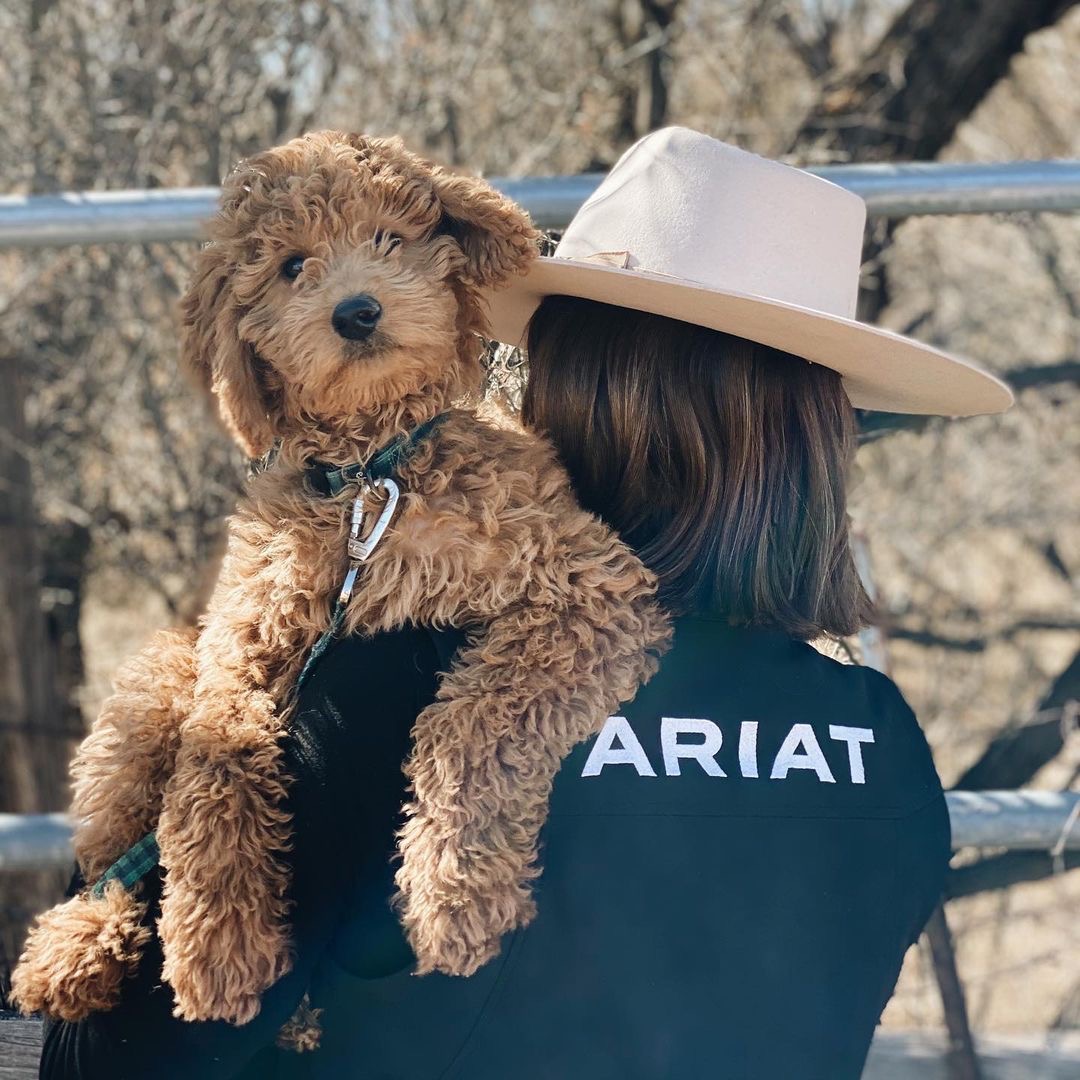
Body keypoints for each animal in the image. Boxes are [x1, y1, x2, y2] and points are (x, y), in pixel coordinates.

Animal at [12, 132, 665, 1028]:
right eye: (292, 265)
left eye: (391, 236)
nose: (356, 312)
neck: (370, 480)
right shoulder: (241, 635)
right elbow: (215, 761)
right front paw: (218, 938)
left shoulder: (589, 584)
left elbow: (475, 721)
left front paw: (455, 891)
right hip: (153, 681)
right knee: (113, 846)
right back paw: (72, 951)